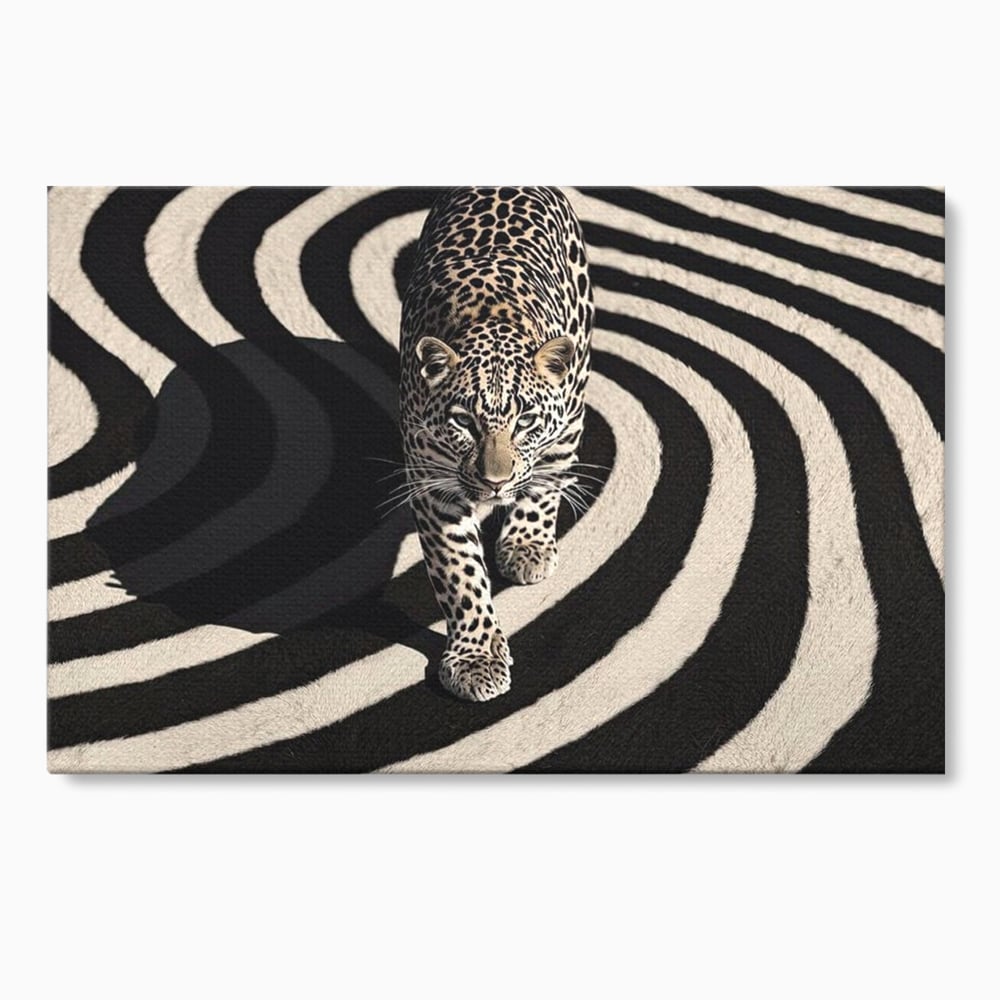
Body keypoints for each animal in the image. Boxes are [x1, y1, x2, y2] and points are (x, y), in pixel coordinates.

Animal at [398, 186, 594, 702]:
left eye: (525, 421)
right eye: (463, 422)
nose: (494, 482)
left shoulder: (561, 429)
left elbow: (543, 485)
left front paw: (526, 545)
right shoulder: (433, 485)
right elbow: (459, 573)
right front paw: (477, 658)